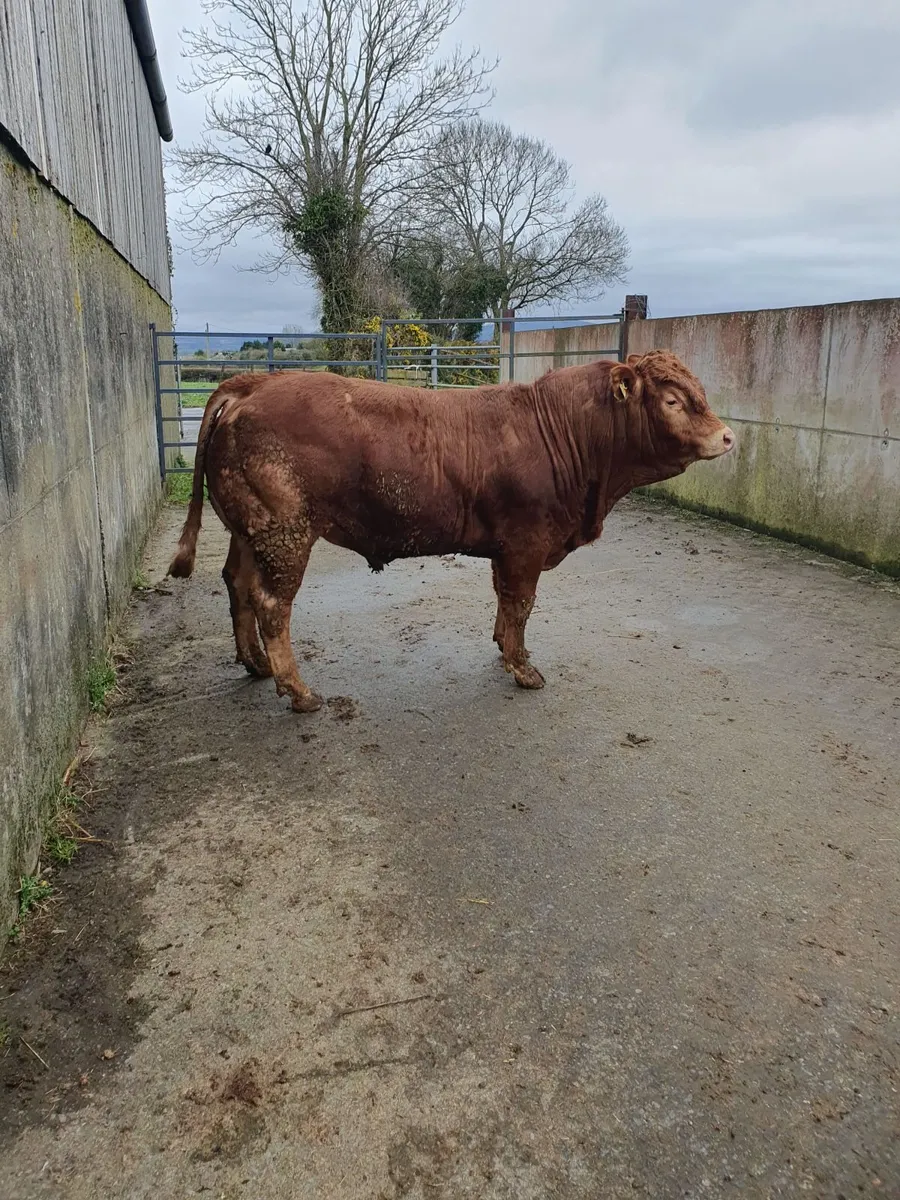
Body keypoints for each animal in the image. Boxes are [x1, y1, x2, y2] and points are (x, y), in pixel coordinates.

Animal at [168, 351, 734, 712]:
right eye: (672, 401)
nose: (728, 436)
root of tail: (253, 383)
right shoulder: (527, 543)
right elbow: (522, 604)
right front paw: (522, 668)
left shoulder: (507, 549)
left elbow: (505, 603)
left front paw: (504, 650)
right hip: (285, 533)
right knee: (272, 605)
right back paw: (298, 691)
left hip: (250, 531)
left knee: (238, 584)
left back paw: (255, 664)